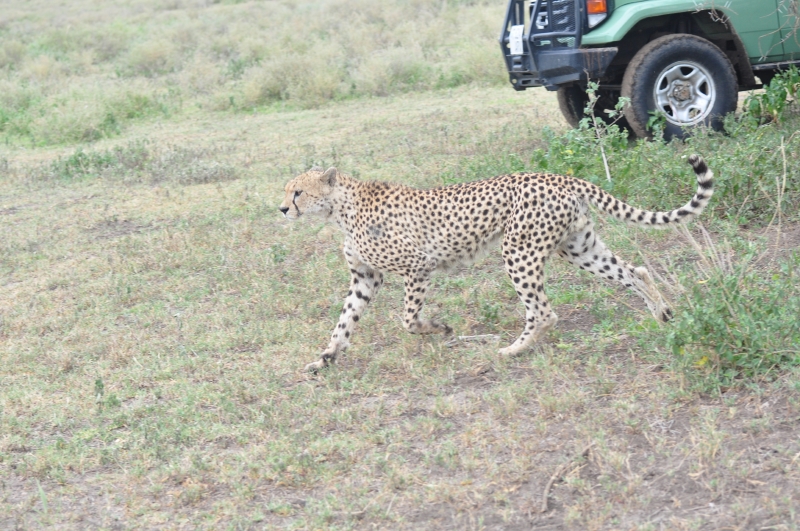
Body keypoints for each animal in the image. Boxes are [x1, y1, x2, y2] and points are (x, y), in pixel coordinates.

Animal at [279, 155, 713, 372]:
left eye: (298, 192)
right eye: (287, 191)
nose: (282, 209)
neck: (341, 209)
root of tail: (560, 177)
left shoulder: (417, 267)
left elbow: (408, 320)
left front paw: (440, 328)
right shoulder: (365, 278)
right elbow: (344, 322)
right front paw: (326, 358)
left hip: (518, 251)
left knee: (544, 311)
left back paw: (513, 351)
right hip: (578, 247)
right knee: (634, 271)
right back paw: (662, 313)